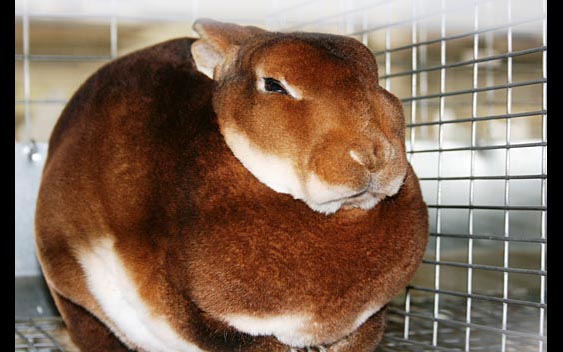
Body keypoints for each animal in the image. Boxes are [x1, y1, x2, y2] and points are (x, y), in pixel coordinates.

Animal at [35, 18, 430, 352]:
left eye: (375, 78)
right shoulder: (205, 319)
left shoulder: (371, 316)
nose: (372, 155)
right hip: (67, 282)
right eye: (273, 84)